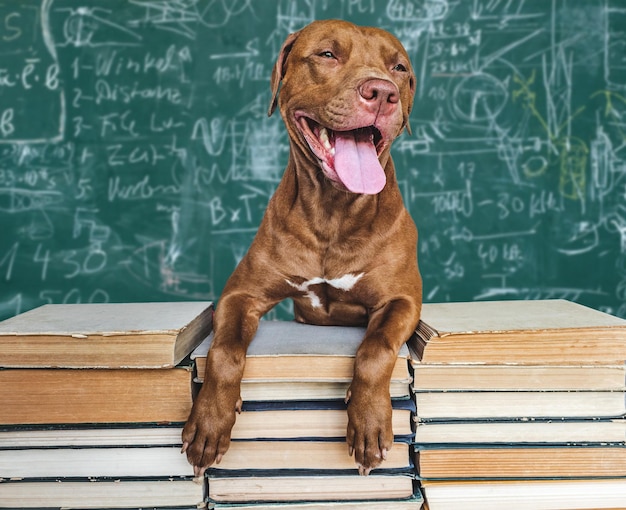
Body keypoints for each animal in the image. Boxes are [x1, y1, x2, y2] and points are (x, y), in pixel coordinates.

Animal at [183, 18, 422, 474]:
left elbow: (376, 348)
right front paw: (209, 422)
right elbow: (224, 352)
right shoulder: (241, 294)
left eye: (398, 67)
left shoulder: (401, 300)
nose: (383, 92)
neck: (333, 211)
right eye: (328, 54)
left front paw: (369, 422)